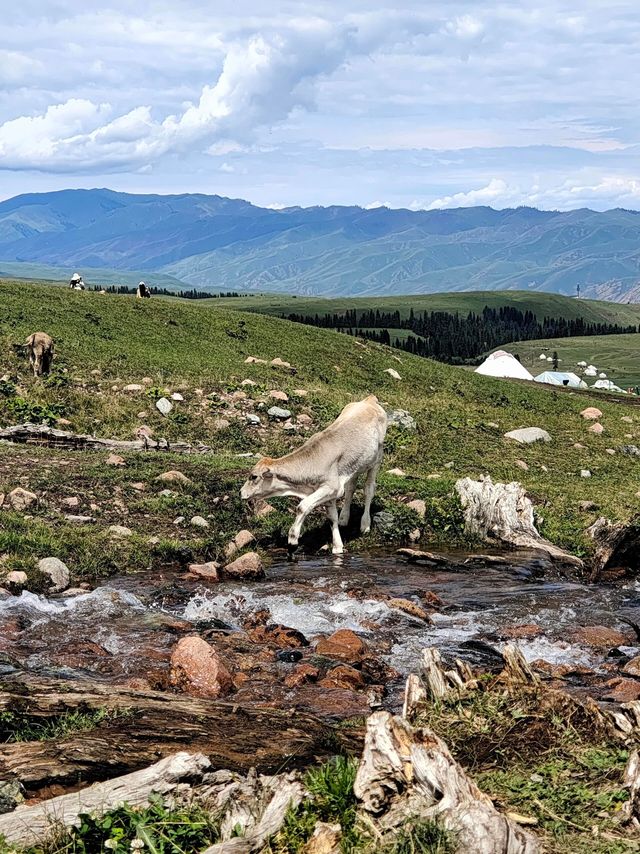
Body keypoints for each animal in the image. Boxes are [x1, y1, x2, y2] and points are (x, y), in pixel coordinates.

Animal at [240, 398, 388, 560]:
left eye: (254, 476)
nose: (241, 492)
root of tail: (369, 399)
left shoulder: (330, 487)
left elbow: (303, 506)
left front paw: (292, 541)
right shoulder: (330, 492)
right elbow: (332, 518)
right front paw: (337, 546)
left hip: (376, 459)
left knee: (369, 489)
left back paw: (365, 525)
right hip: (355, 465)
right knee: (351, 487)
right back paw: (344, 518)